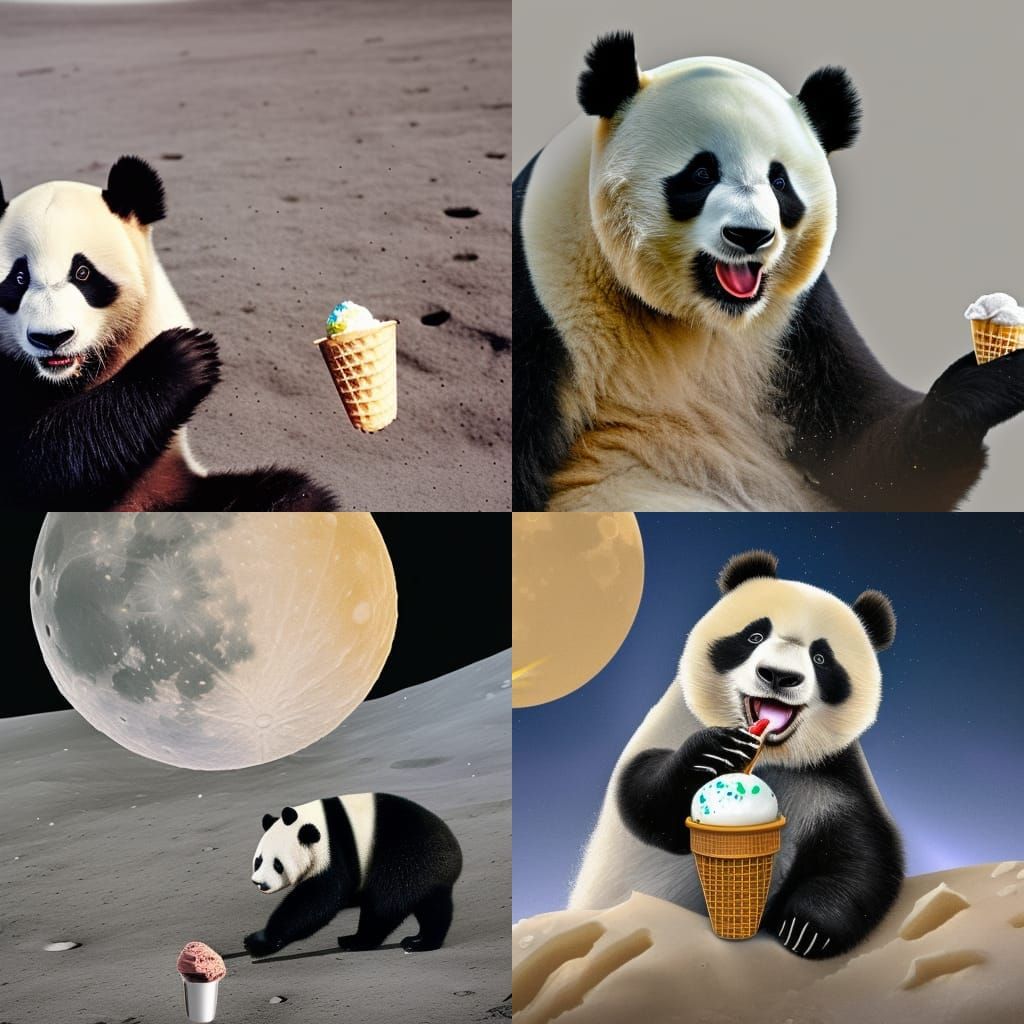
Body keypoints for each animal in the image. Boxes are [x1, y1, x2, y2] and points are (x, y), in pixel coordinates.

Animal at [0, 156, 337, 510]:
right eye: (18, 279)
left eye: (82, 273)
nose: (51, 338)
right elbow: (31, 467)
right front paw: (181, 358)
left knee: (289, 494)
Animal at [244, 793, 463, 958]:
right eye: (258, 861)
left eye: (277, 864)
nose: (260, 883)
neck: (313, 825)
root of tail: (453, 855)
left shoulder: (335, 851)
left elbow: (317, 901)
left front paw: (259, 941)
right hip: (426, 875)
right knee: (432, 907)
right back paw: (422, 940)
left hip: (407, 858)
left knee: (384, 904)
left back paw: (357, 940)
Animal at [513, 32, 1024, 511]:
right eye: (701, 173)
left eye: (780, 182)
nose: (749, 235)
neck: (693, 319)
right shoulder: (547, 286)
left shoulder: (799, 325)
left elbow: (872, 464)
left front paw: (990, 375)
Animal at [569, 550, 904, 959]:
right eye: (754, 635)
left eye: (821, 657)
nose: (778, 676)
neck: (767, 757)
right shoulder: (672, 725)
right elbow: (647, 800)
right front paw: (714, 754)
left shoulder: (829, 777)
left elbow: (863, 854)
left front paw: (804, 929)